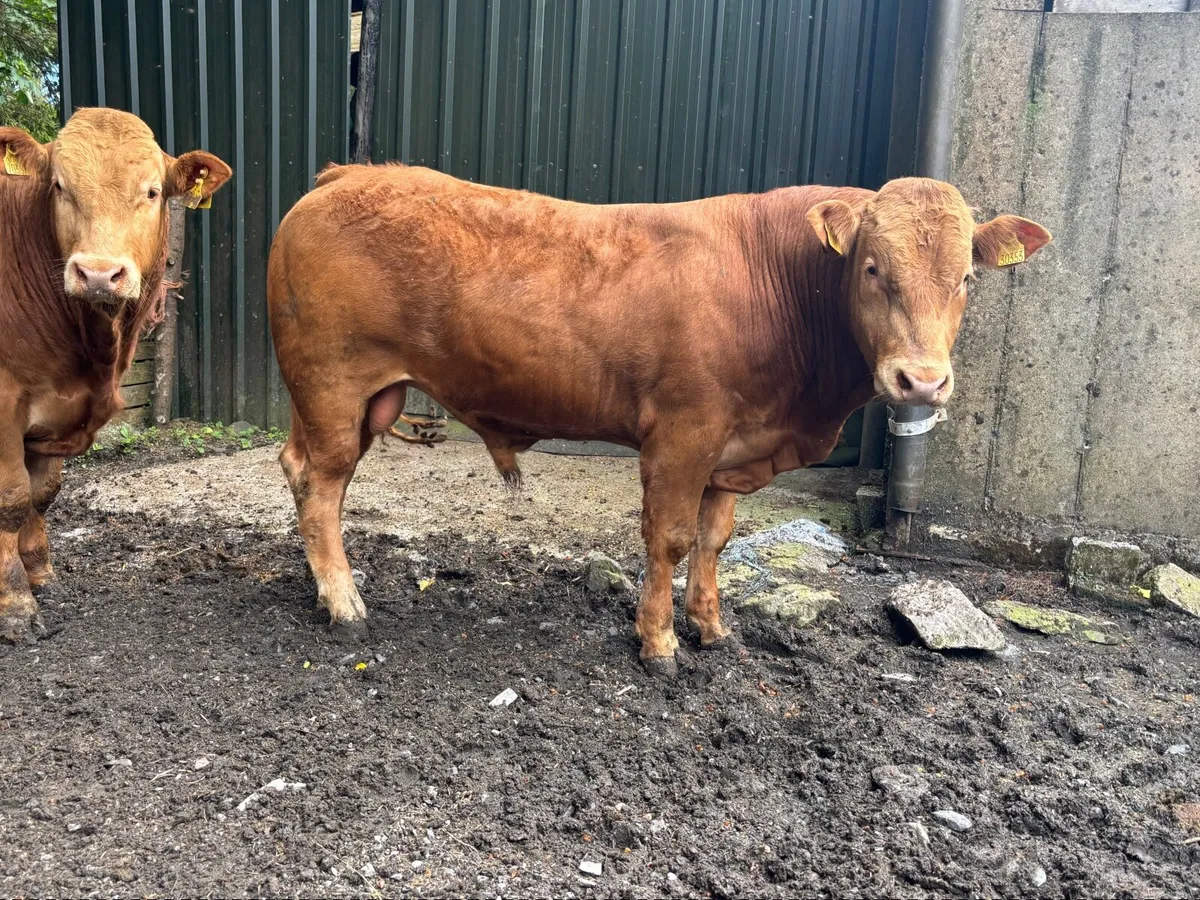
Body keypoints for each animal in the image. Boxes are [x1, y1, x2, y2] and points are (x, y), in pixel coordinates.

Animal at [0, 108, 231, 643]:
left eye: (152, 191)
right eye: (59, 187)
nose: (99, 275)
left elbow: (42, 494)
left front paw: (40, 574)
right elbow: (12, 499)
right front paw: (14, 604)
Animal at [267, 165, 1049, 675]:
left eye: (968, 277)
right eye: (872, 268)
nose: (921, 381)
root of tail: (346, 175)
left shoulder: (733, 450)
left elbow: (714, 540)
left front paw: (711, 626)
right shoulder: (683, 433)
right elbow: (670, 538)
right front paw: (659, 642)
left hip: (349, 399)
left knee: (303, 473)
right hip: (333, 385)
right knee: (320, 485)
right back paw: (343, 601)